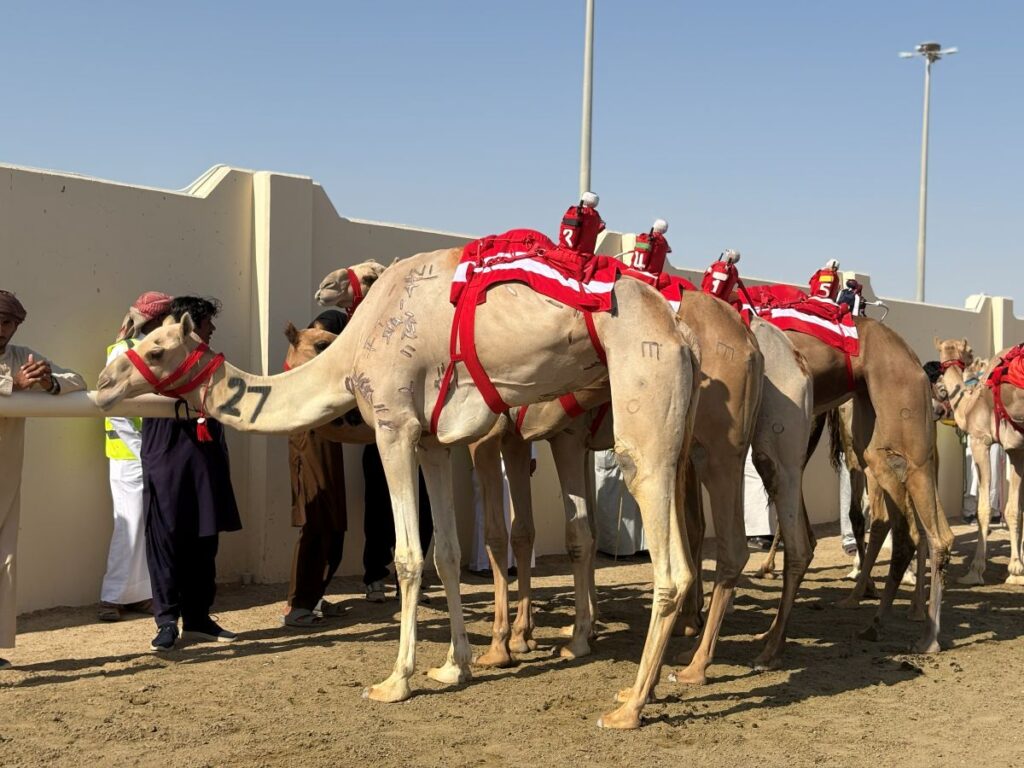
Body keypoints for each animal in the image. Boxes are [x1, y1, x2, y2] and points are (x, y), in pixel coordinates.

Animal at [96, 247, 702, 730]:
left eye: (155, 349)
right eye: (143, 340)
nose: (103, 382)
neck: (353, 347)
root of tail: (681, 333)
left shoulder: (394, 426)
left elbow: (409, 556)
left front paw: (397, 680)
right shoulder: (432, 441)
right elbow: (448, 553)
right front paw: (454, 666)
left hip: (642, 394)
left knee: (670, 561)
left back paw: (629, 707)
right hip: (664, 435)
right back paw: (632, 678)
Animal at [936, 338, 1024, 585]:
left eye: (970, 351)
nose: (940, 388)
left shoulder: (979, 441)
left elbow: (983, 508)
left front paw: (975, 571)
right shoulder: (1016, 449)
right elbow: (1015, 510)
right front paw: (1016, 570)